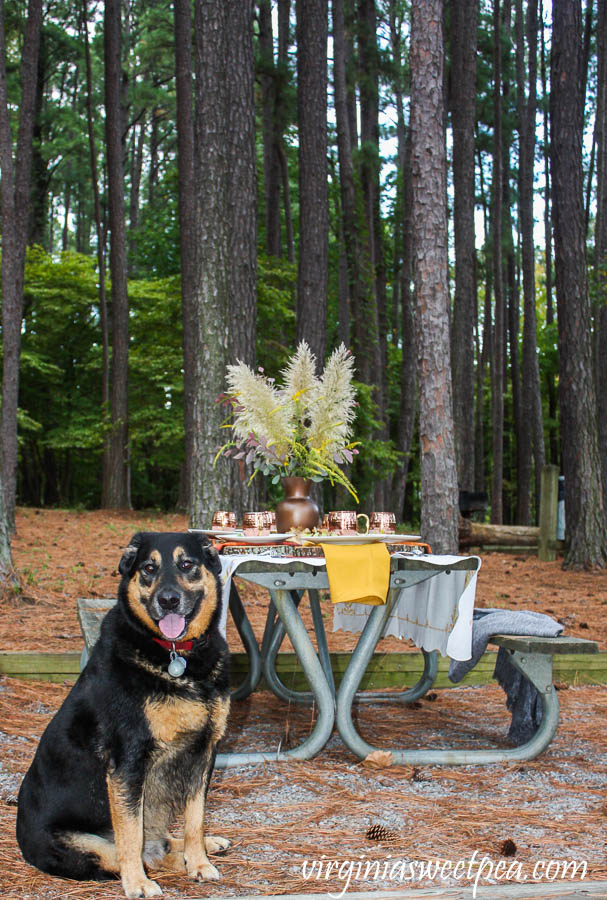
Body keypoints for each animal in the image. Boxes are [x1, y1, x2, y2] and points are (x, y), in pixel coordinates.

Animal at [17, 532, 230, 896]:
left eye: (187, 564)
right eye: (148, 568)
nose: (168, 600)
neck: (174, 655)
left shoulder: (203, 753)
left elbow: (195, 819)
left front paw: (199, 862)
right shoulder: (128, 762)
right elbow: (130, 836)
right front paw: (139, 884)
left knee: (160, 845)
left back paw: (203, 847)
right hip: (85, 845)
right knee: (138, 853)